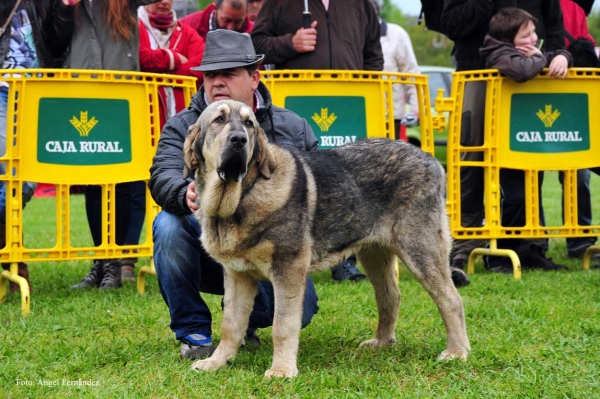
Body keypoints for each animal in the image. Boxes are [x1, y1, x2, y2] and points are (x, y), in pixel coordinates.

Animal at [182, 100, 468, 378]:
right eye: (219, 120)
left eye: (249, 124)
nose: (239, 139)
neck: (241, 196)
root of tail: (431, 160)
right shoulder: (238, 275)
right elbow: (231, 324)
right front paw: (216, 362)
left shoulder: (288, 270)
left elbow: (282, 325)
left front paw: (282, 369)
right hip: (375, 255)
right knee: (390, 297)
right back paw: (382, 343)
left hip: (420, 249)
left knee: (450, 299)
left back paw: (457, 352)